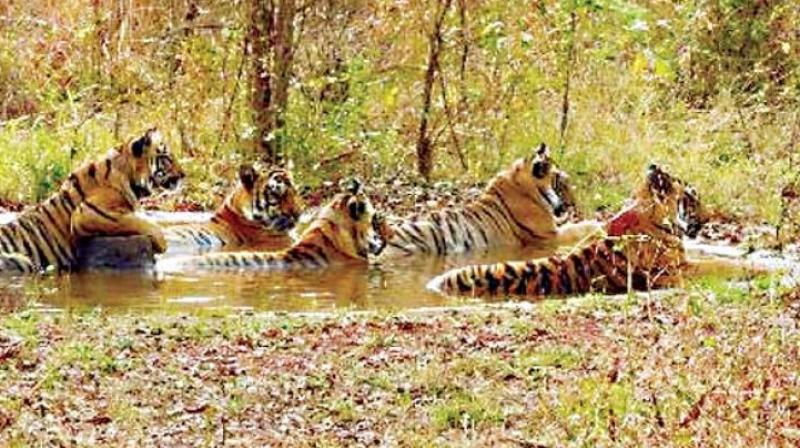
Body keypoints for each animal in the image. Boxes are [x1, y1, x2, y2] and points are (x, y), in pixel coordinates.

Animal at [0, 128, 184, 274]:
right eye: (166, 158)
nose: (183, 175)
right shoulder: (87, 212)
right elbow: (139, 221)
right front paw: (162, 244)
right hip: (21, 260)